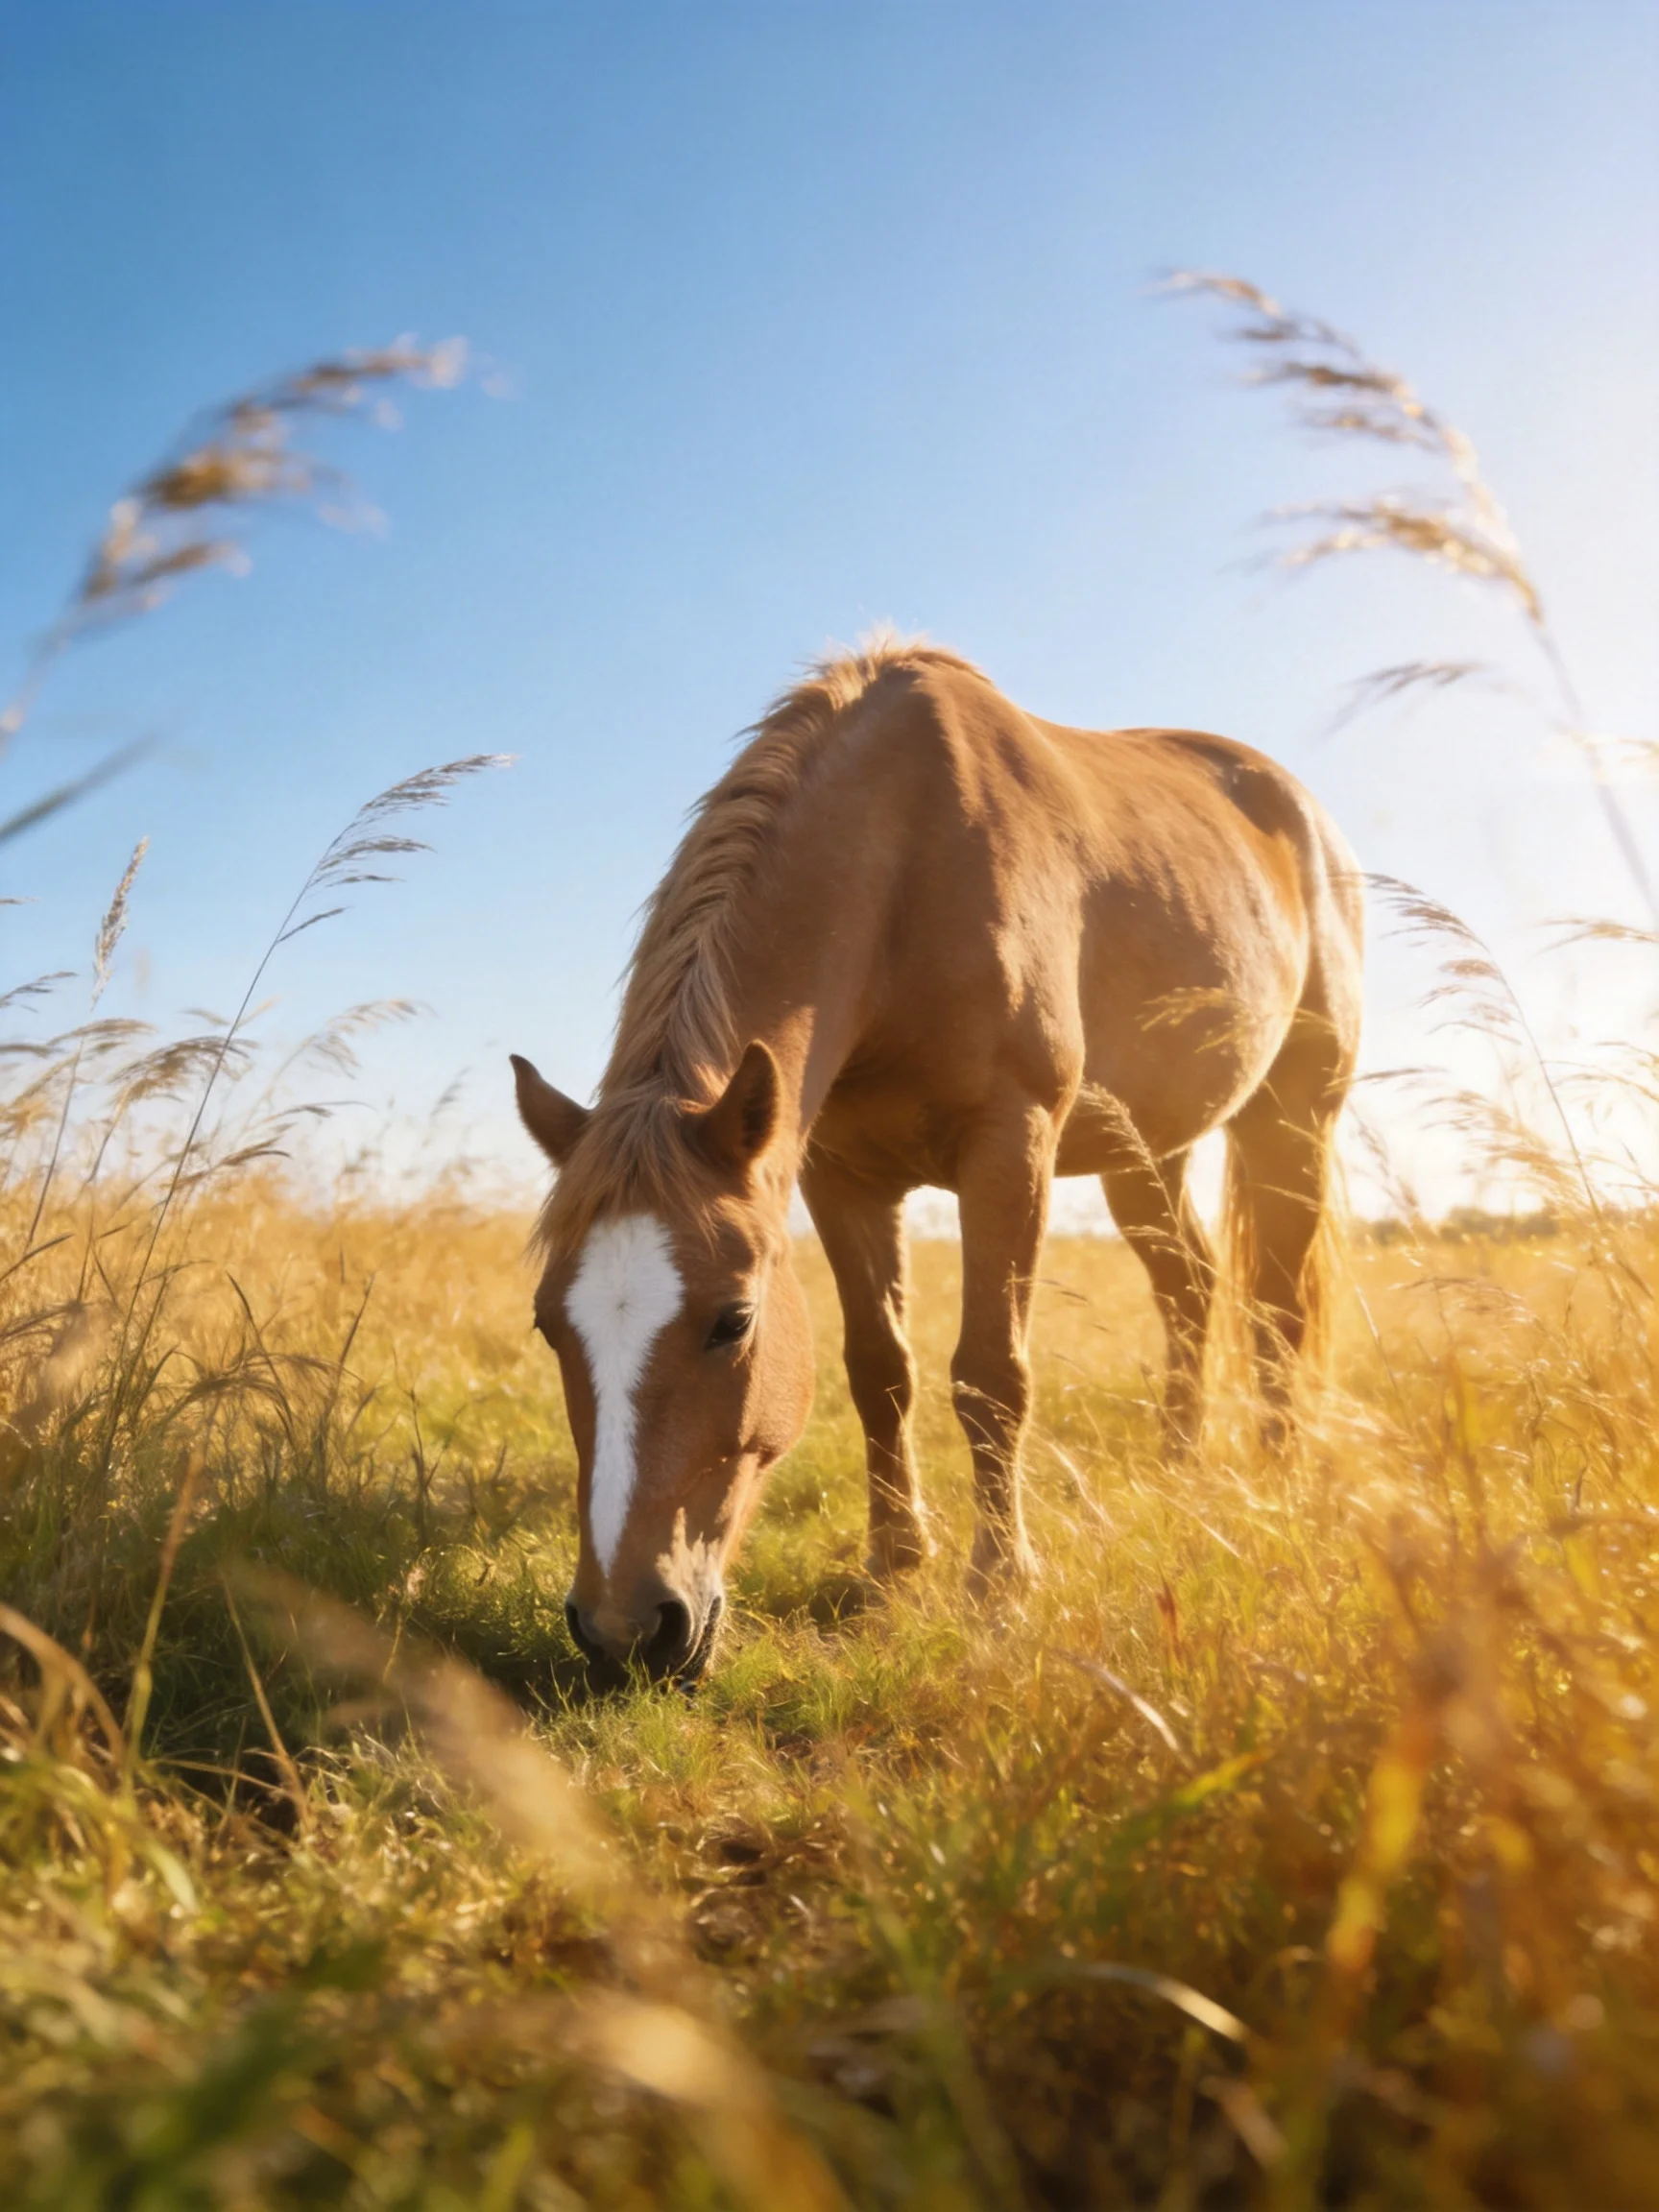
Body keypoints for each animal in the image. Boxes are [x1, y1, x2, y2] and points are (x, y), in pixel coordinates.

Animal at [513, 638, 1363, 1682]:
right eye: (550, 1325)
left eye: (732, 1321)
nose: (625, 1631)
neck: (905, 869)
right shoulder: (841, 1176)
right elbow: (881, 1371)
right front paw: (895, 1563)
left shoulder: (1010, 1147)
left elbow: (990, 1375)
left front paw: (1000, 1586)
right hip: (1145, 1152)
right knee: (1191, 1287)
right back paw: (1179, 1462)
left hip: (1293, 1118)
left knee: (1277, 1302)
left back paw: (1275, 1475)